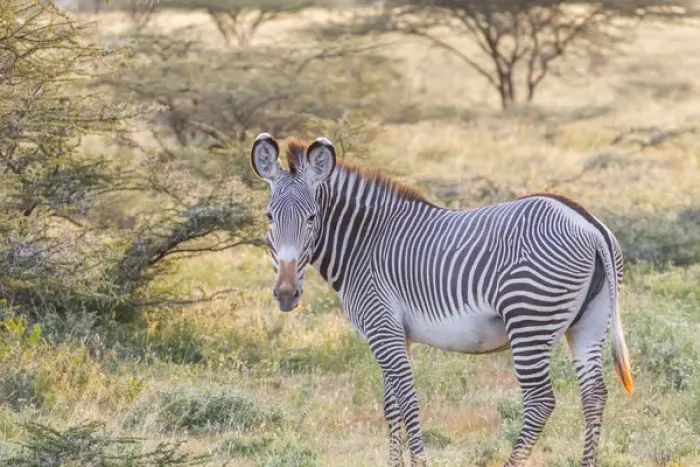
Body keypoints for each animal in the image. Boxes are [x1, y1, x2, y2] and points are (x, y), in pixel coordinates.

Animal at [249, 133, 633, 467]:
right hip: (588, 323)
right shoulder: (396, 335)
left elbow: (407, 401)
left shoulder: (382, 328)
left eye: (312, 218)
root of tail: (587, 223)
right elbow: (391, 406)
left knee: (540, 401)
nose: (286, 294)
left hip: (529, 322)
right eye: (269, 216)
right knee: (594, 394)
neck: (364, 244)